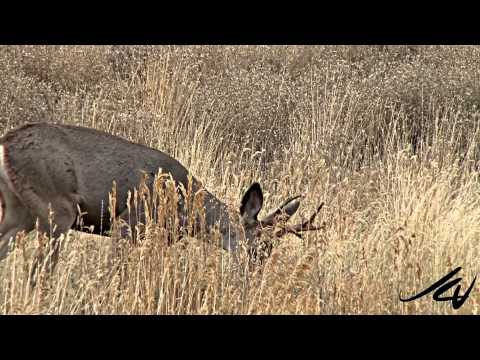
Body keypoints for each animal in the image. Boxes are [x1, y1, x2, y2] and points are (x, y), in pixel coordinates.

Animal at [0, 124, 324, 272]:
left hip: (21, 211)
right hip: (56, 207)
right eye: (258, 245)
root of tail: (6, 142)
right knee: (40, 269)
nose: (256, 274)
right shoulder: (129, 222)